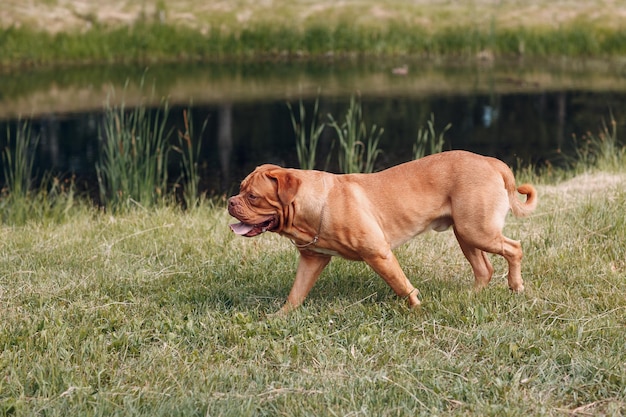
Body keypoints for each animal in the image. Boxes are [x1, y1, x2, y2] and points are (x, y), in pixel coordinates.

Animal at [227, 150, 532, 312]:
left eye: (253, 196)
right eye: (240, 188)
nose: (230, 202)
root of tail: (493, 162)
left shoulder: (379, 254)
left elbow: (403, 286)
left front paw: (417, 309)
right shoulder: (312, 259)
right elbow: (296, 292)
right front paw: (281, 316)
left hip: (476, 230)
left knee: (514, 248)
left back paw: (516, 286)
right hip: (466, 232)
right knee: (484, 269)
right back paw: (472, 296)